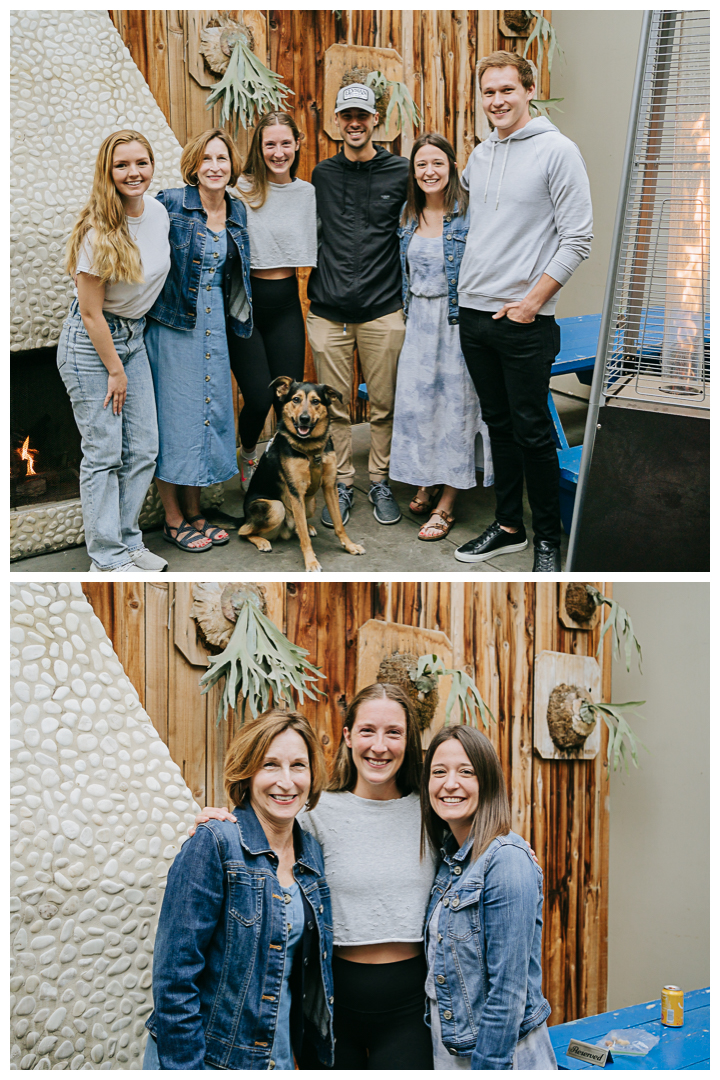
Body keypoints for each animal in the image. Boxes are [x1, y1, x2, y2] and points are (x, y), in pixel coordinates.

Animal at [239, 375, 367, 574]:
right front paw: (311, 562)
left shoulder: (329, 485)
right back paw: (262, 541)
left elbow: (338, 523)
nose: (304, 419)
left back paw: (307, 526)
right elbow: (305, 539)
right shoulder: (295, 491)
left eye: (315, 401)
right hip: (276, 507)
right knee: (243, 531)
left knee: (298, 525)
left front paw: (350, 546)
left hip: (311, 502)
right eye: (296, 399)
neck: (311, 447)